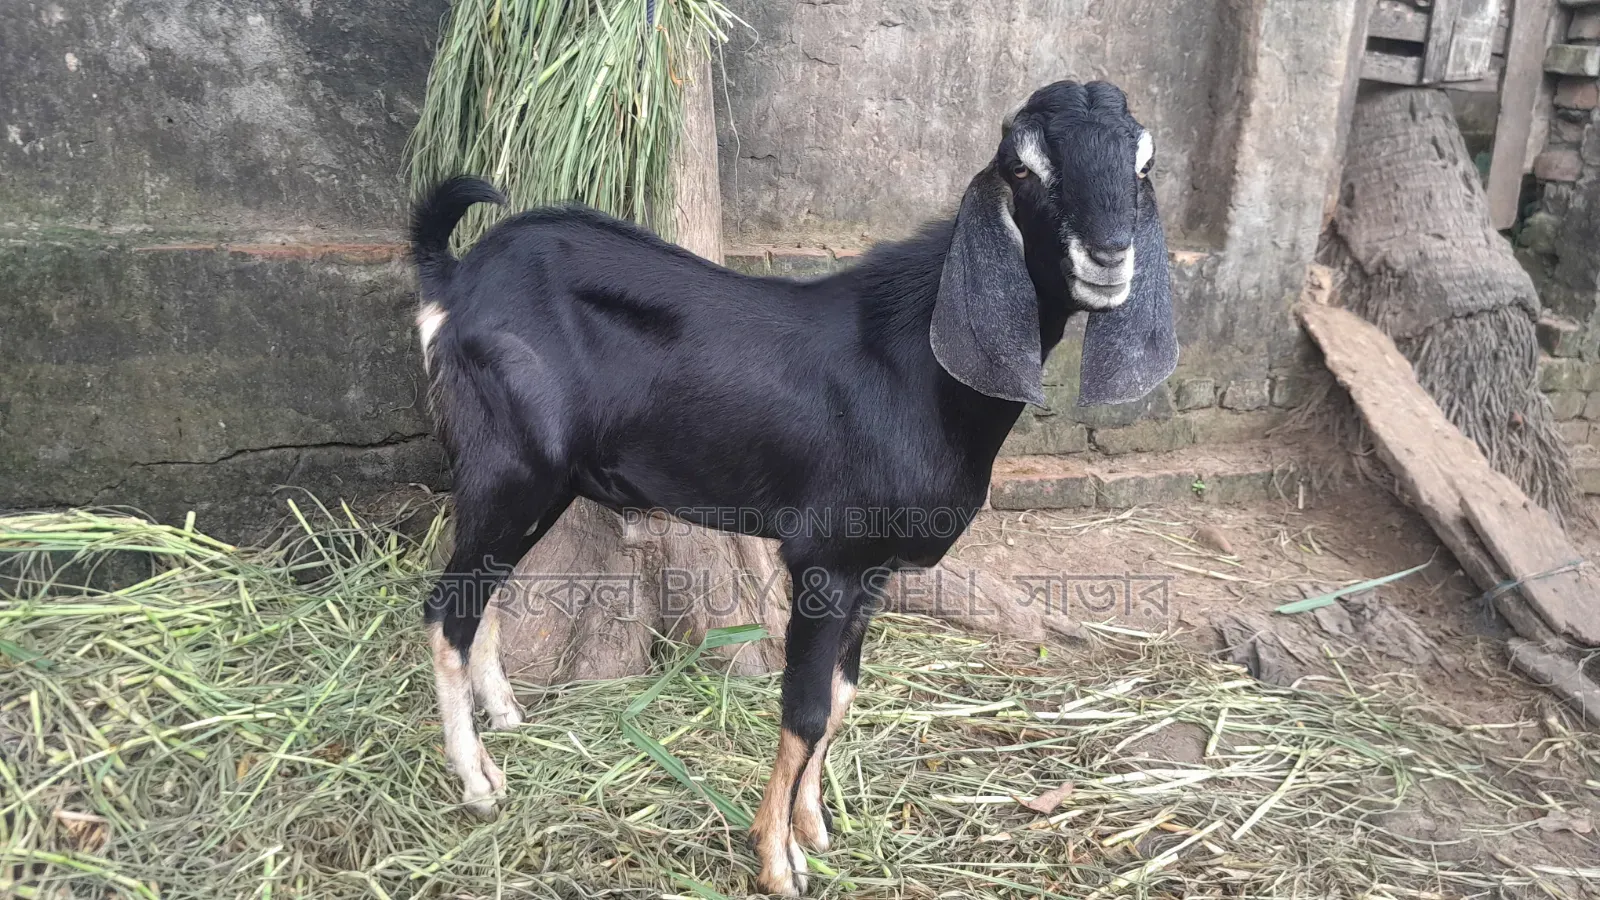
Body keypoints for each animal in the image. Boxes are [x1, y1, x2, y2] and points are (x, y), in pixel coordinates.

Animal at [411, 79, 1176, 896]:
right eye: (1025, 169)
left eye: (1143, 165)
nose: (1109, 257)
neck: (917, 365)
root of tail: (456, 280)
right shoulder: (824, 560)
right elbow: (805, 711)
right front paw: (778, 861)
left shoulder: (873, 571)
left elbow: (841, 698)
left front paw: (813, 827)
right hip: (513, 463)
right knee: (447, 608)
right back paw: (479, 783)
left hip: (535, 483)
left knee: (483, 593)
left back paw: (504, 718)